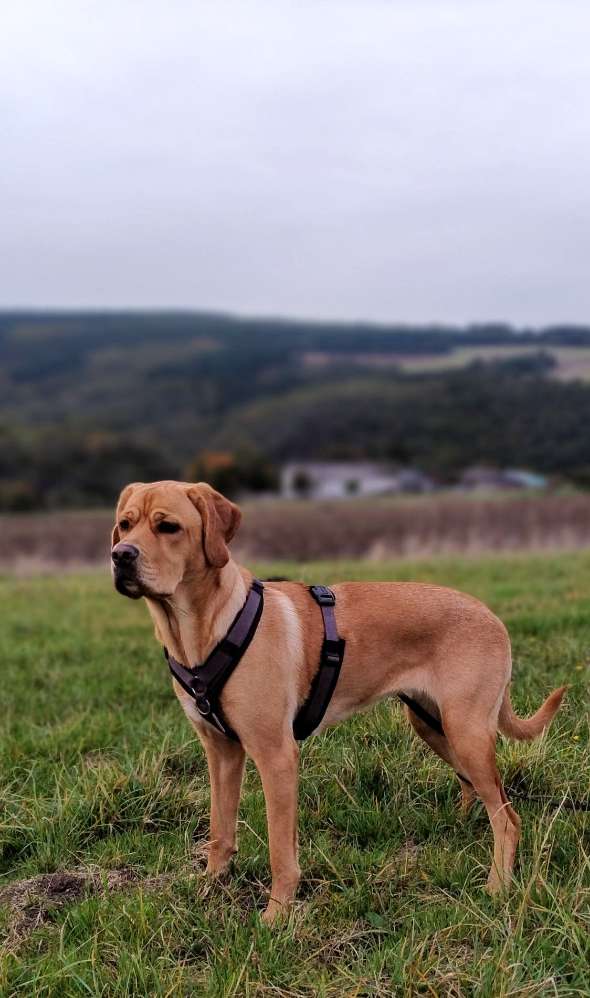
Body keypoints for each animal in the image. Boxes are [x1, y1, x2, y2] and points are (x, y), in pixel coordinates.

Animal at [112, 480, 568, 924]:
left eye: (168, 527)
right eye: (124, 525)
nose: (120, 556)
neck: (203, 630)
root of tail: (492, 618)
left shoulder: (276, 755)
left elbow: (280, 849)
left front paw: (277, 915)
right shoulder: (220, 750)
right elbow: (220, 830)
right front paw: (211, 886)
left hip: (466, 731)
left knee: (507, 817)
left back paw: (497, 886)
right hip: (433, 725)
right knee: (477, 789)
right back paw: (462, 825)